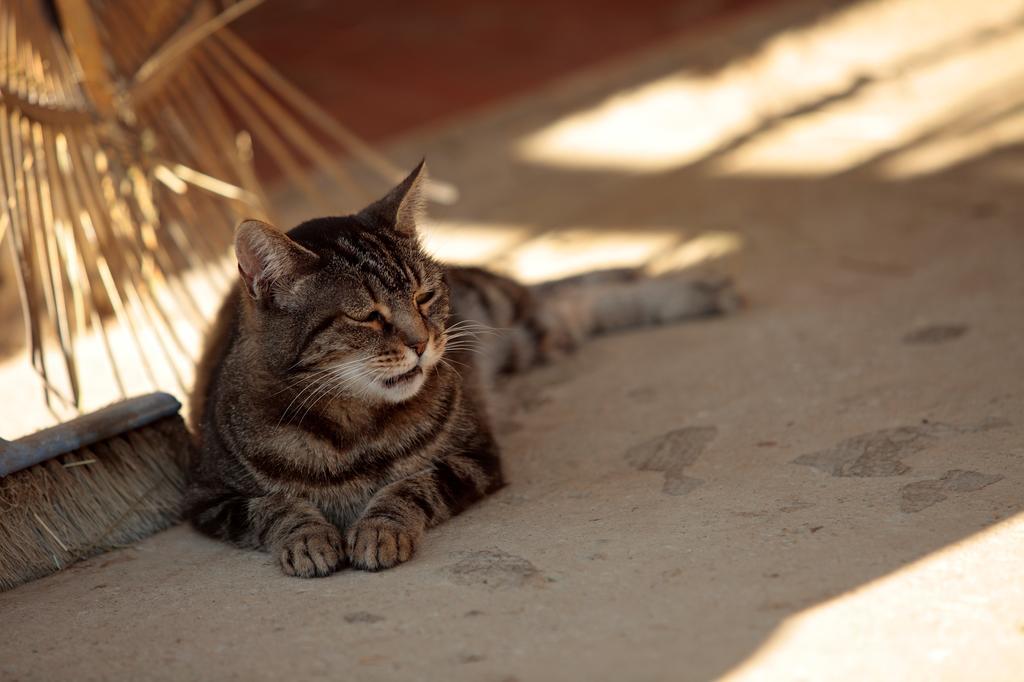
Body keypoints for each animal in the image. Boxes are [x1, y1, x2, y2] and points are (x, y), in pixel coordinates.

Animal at [188, 163, 737, 573]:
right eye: (367, 316)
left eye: (423, 296)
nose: (422, 341)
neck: (354, 429)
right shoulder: (209, 497)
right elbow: (273, 507)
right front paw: (307, 538)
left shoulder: (473, 456)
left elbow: (410, 487)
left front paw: (379, 528)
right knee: (570, 307)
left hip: (507, 315)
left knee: (568, 294)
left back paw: (698, 291)